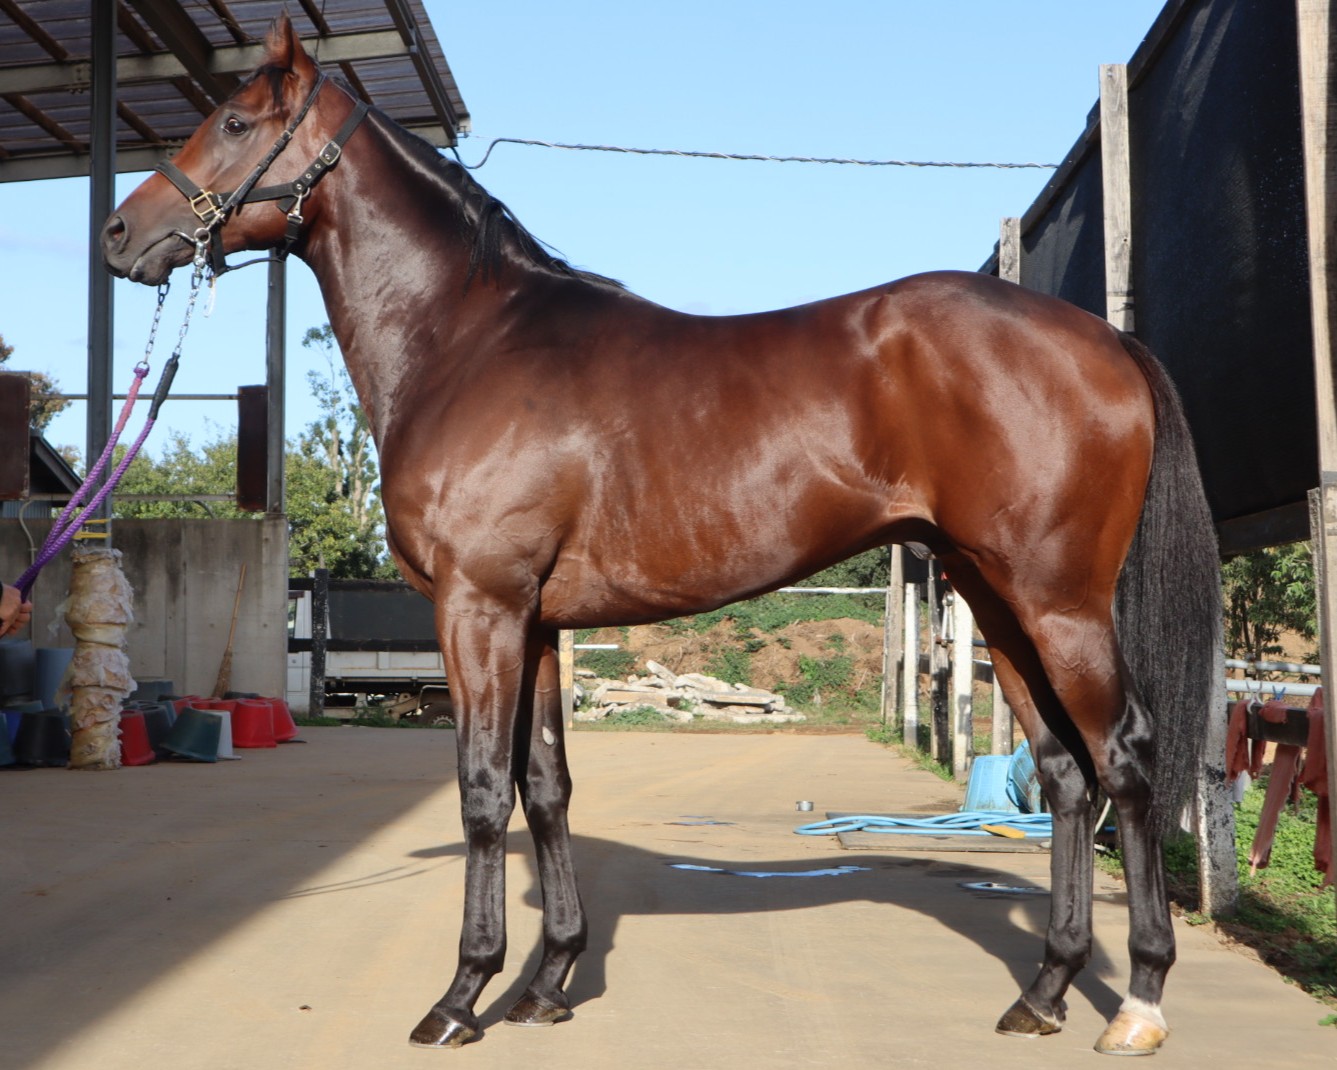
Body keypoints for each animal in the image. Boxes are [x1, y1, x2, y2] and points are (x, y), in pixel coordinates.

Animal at [102, 16, 1221, 1056]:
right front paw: (548, 982)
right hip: (995, 599)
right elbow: (545, 785)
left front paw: (463, 997)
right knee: (1065, 773)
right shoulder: (536, 623)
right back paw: (1043, 992)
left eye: (234, 122)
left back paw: (1139, 1002)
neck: (469, 341)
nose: (117, 234)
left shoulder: (479, 609)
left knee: (1122, 757)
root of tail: (1105, 340)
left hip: (1057, 603)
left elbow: (481, 792)